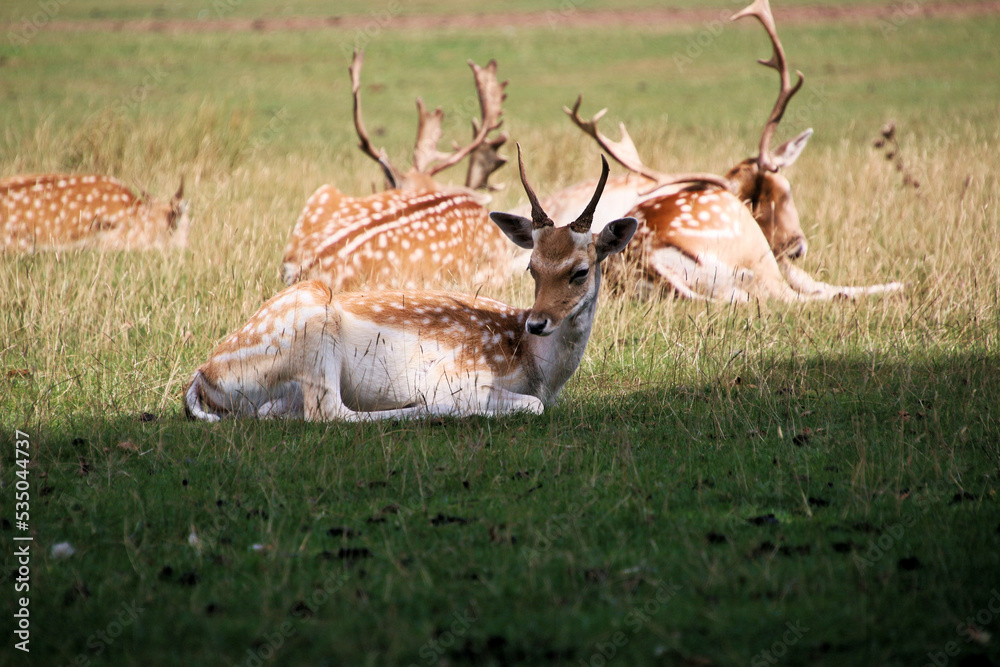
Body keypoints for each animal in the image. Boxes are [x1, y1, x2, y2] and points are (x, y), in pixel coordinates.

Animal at [184, 148, 637, 422]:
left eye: (579, 271)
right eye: (532, 268)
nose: (538, 322)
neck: (535, 367)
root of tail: (204, 376)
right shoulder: (458, 374)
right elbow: (532, 406)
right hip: (313, 332)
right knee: (330, 412)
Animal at [558, 0, 902, 302]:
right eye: (788, 191)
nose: (797, 247)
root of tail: (647, 259)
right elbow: (820, 285)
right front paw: (896, 284)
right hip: (754, 256)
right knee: (793, 298)